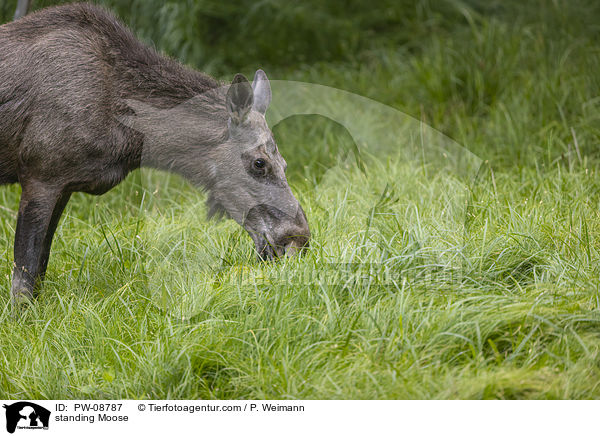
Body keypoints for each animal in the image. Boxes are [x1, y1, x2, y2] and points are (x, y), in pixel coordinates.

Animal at [0, 3, 310, 304]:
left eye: (284, 163)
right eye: (259, 163)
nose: (299, 239)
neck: (129, 136)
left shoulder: (63, 186)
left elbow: (40, 268)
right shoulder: (41, 177)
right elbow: (24, 278)